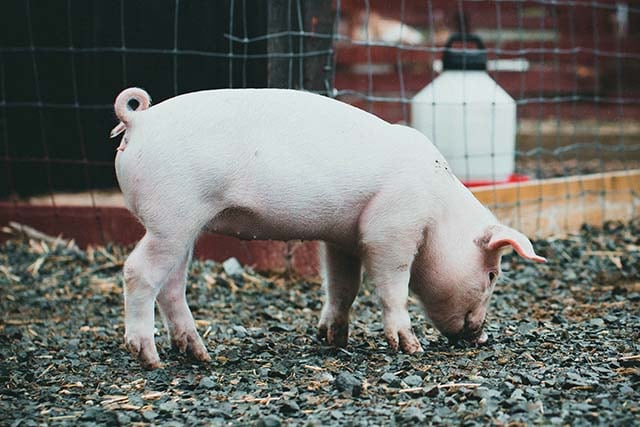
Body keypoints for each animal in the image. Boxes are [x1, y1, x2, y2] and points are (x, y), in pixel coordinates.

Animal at [110, 87, 546, 369]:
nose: (482, 335)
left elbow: (343, 286)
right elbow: (392, 285)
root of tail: (138, 119)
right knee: (138, 272)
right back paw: (150, 359)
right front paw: (411, 348)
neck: (438, 213)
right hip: (171, 217)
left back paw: (199, 354)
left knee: (172, 285)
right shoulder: (390, 228)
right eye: (492, 275)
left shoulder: (343, 239)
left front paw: (333, 339)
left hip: (184, 226)